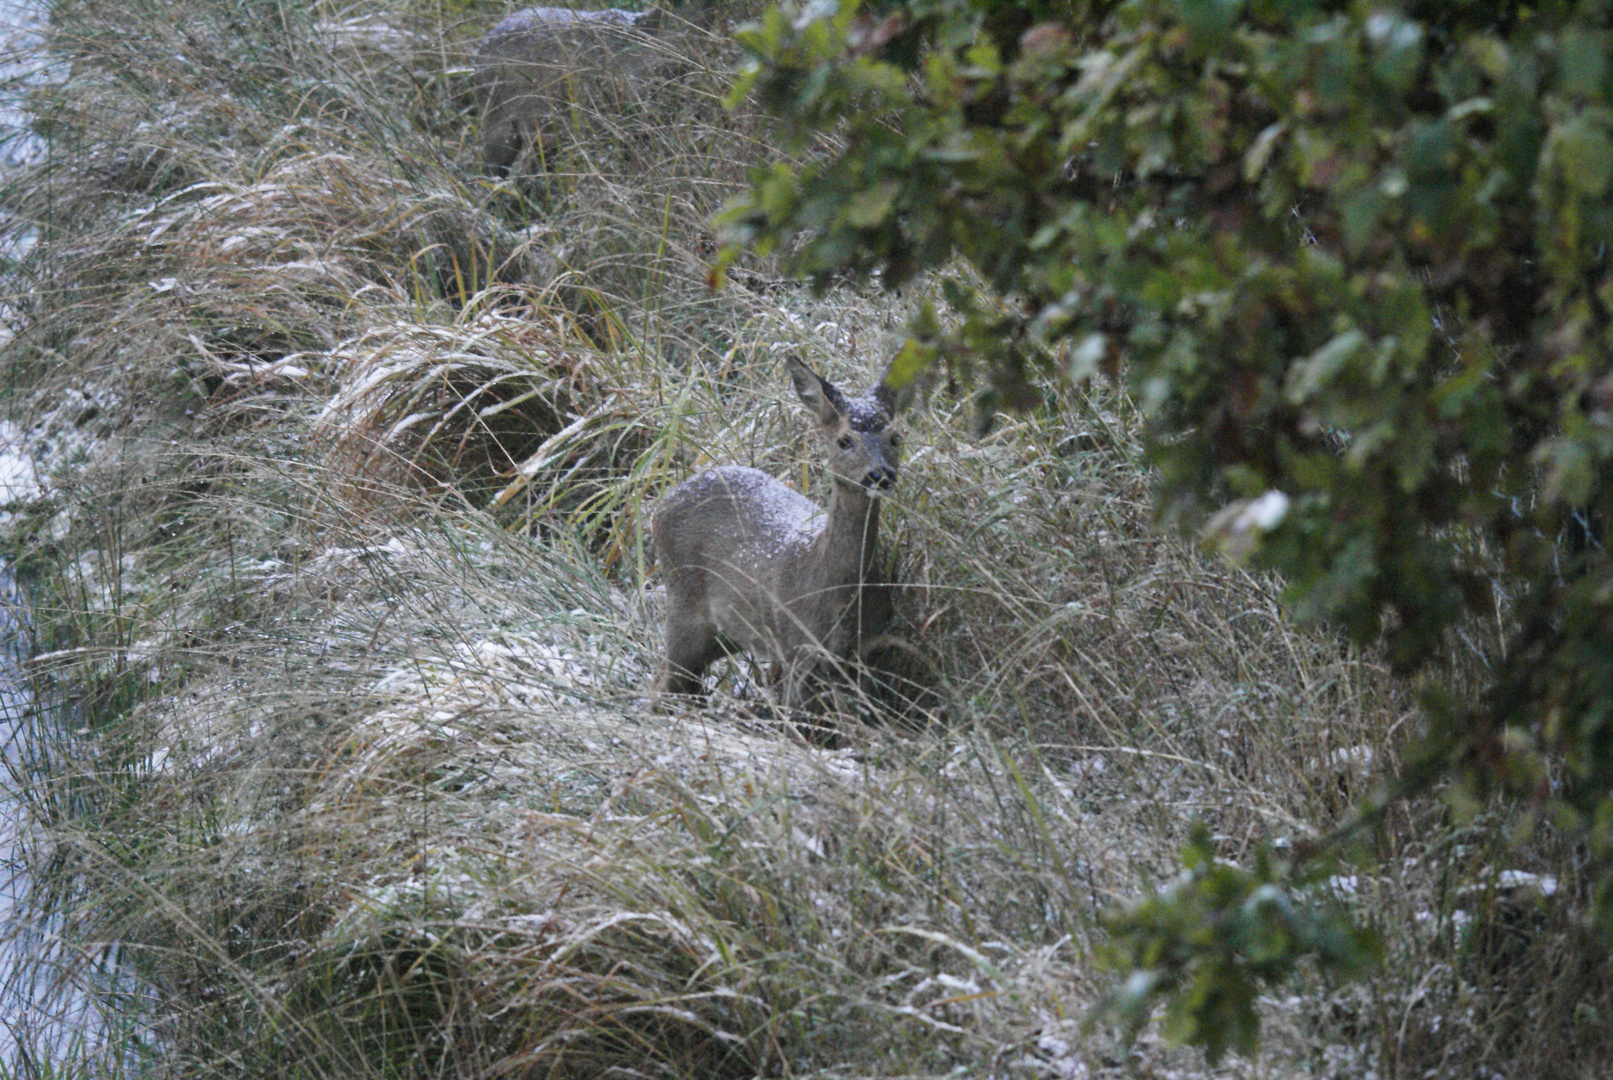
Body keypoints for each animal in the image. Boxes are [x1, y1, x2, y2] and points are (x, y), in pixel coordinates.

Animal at [651, 357, 909, 709]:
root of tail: (659, 509)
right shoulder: (795, 644)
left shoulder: (865, 651)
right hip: (684, 604)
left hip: (726, 632)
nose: (880, 475)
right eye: (844, 440)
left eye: (895, 437)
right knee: (665, 679)